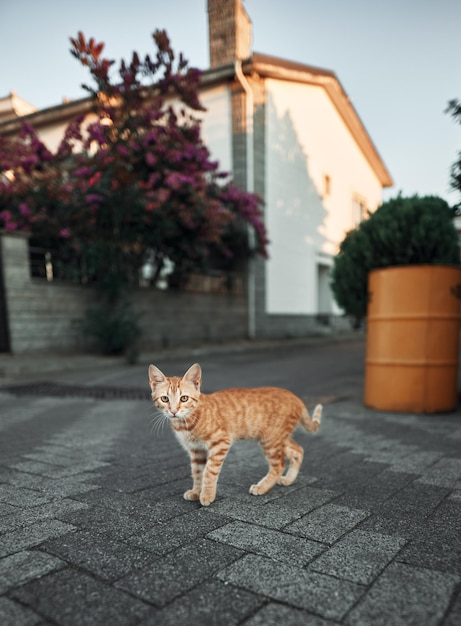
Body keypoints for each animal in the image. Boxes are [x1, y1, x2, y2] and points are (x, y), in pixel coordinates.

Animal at [147, 364, 320, 504]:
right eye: (164, 399)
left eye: (184, 398)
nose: (173, 411)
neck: (186, 422)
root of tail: (295, 396)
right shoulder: (197, 450)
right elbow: (197, 472)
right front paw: (196, 491)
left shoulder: (220, 442)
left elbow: (209, 472)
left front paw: (207, 495)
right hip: (278, 438)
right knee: (298, 450)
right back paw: (289, 479)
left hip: (270, 440)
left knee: (279, 464)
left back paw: (262, 487)